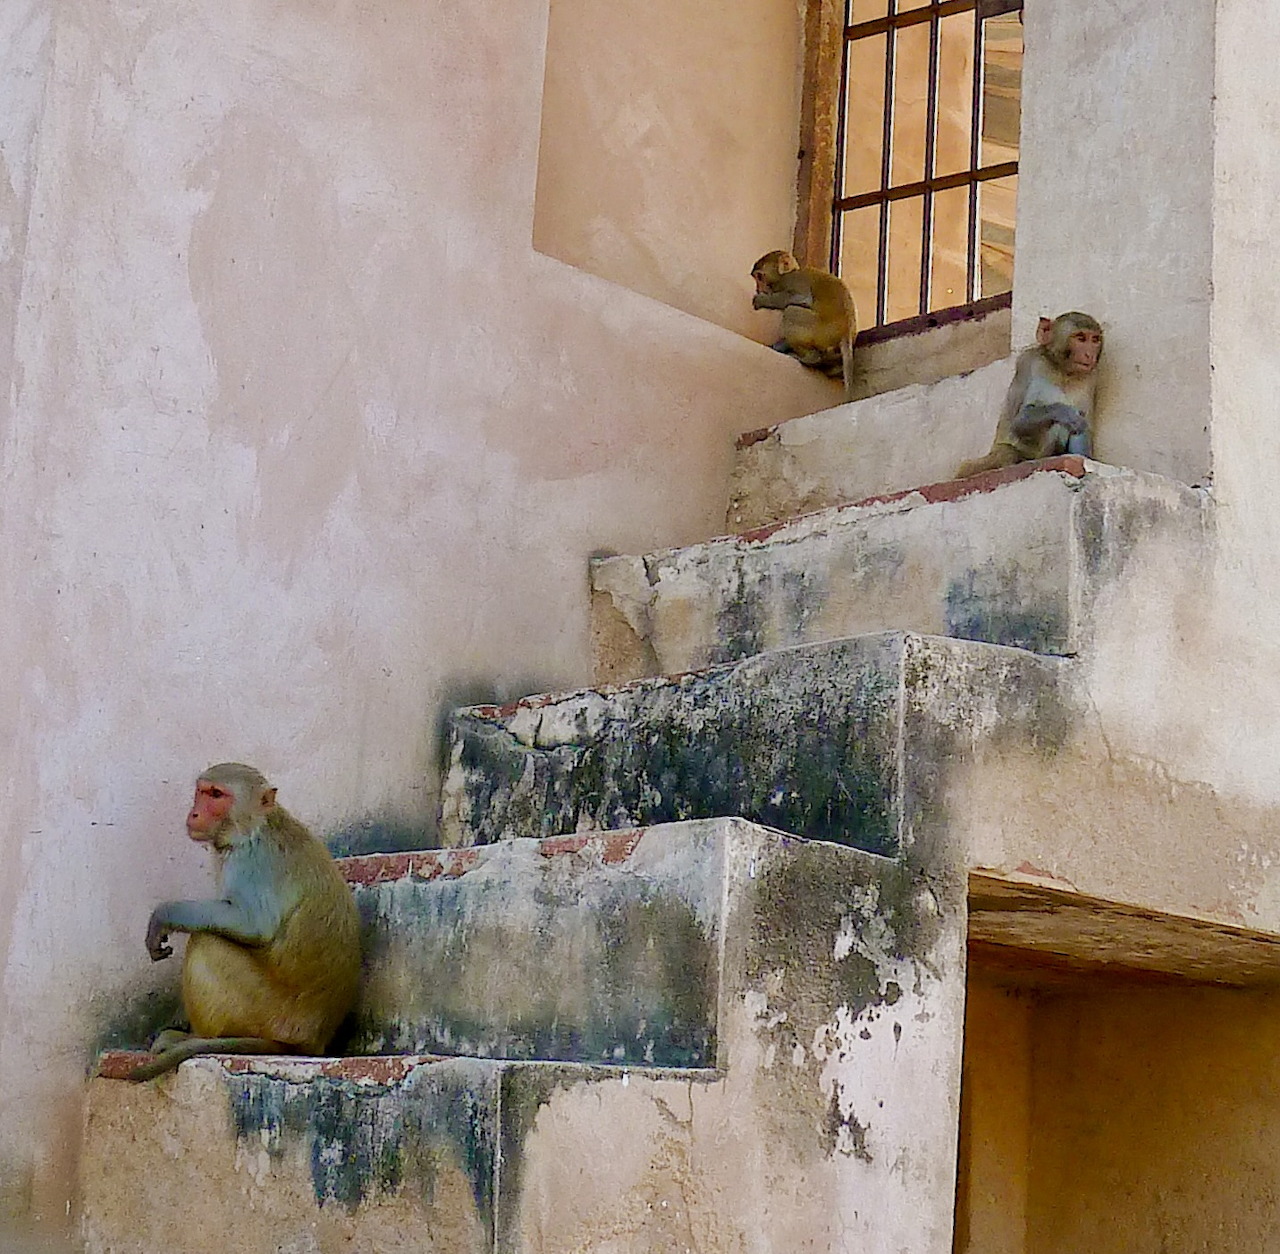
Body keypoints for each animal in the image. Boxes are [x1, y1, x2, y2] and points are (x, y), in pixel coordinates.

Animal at [128, 763, 361, 1081]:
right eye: (202, 792)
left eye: (217, 795)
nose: (194, 813)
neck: (253, 825)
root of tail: (312, 1041)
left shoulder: (252, 860)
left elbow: (254, 923)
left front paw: (165, 914)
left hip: (268, 1013)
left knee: (207, 941)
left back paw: (198, 1037)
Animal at [751, 250, 856, 401]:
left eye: (760, 277)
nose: (758, 289)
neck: (790, 272)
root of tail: (845, 331)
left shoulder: (794, 280)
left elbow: (801, 298)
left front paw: (762, 300)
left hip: (820, 330)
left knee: (791, 311)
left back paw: (810, 358)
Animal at [955, 312, 1104, 479]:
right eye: (1080, 338)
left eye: (1094, 339)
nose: (1089, 354)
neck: (1062, 370)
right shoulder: (1030, 362)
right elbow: (1019, 421)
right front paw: (1065, 412)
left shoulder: (1091, 377)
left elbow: (1085, 425)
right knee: (1009, 451)